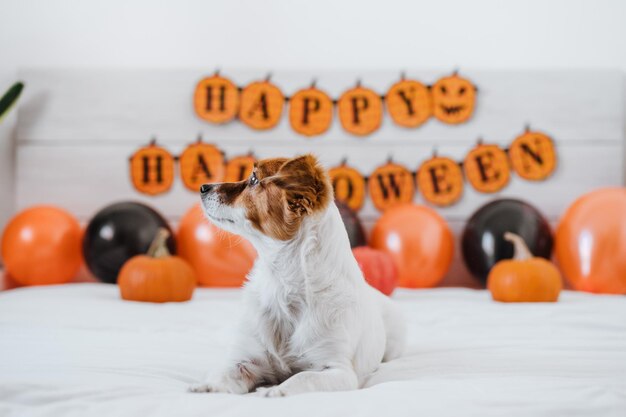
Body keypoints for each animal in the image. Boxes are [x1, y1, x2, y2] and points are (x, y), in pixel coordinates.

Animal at [190, 154, 404, 396]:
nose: (203, 186)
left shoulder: (338, 371)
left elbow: (302, 378)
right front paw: (207, 386)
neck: (283, 284)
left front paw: (273, 391)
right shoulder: (248, 361)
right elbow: (224, 373)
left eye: (254, 179)